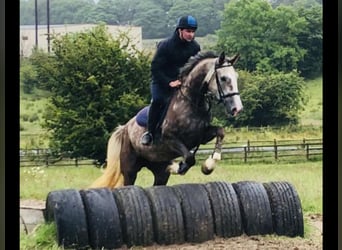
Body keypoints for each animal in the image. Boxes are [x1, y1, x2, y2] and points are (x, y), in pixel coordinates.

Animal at [89, 50, 242, 188]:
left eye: (236, 77)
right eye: (223, 78)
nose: (237, 108)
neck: (192, 102)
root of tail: (125, 128)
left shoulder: (201, 136)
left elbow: (220, 131)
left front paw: (209, 164)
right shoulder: (170, 139)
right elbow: (190, 158)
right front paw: (180, 167)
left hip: (159, 170)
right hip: (130, 169)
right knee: (129, 182)